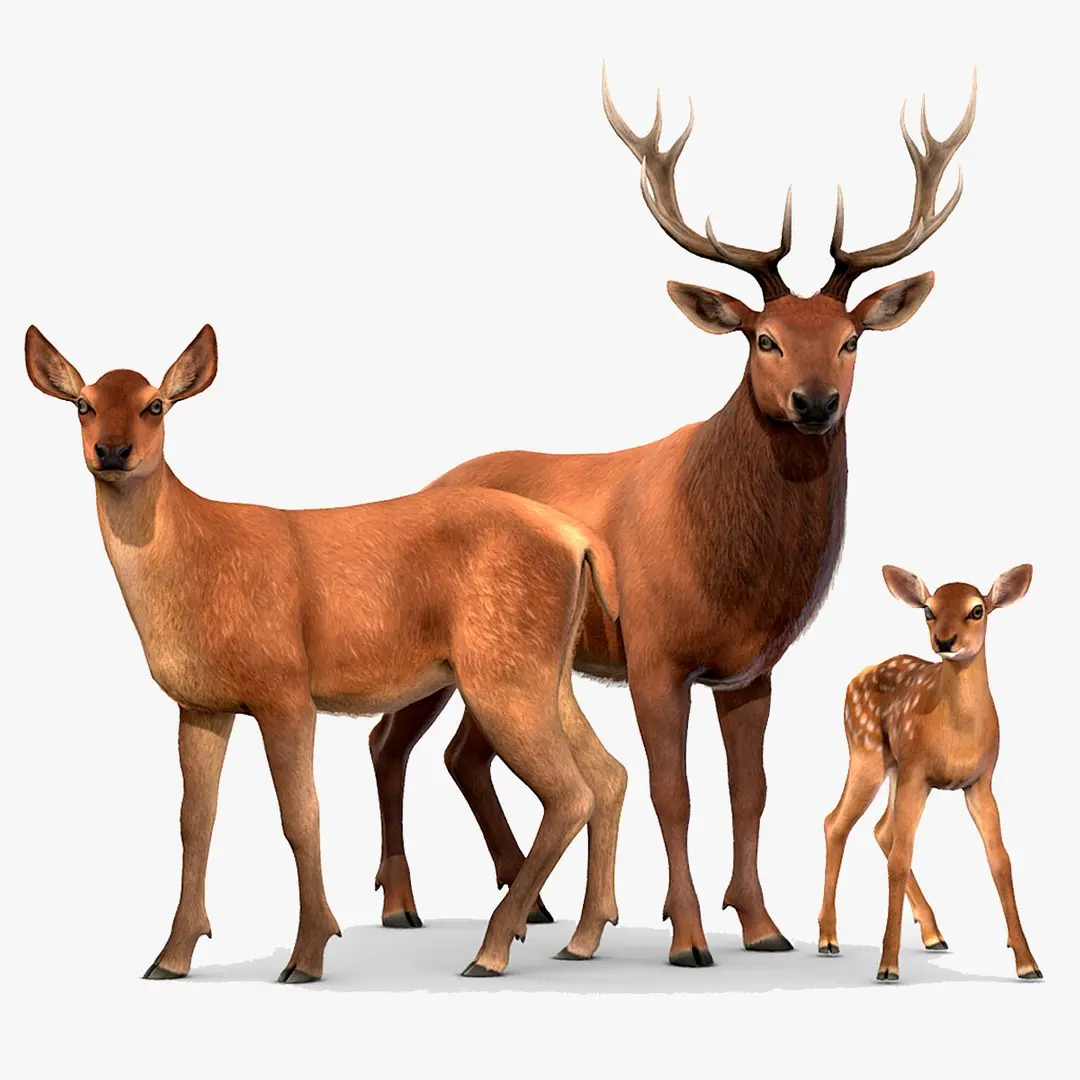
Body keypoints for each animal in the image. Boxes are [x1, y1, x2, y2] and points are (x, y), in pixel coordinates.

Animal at [26, 324, 628, 981]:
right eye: (83, 404)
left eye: (154, 404)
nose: (111, 452)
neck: (196, 563)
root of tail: (580, 541)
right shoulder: (200, 704)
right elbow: (195, 821)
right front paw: (171, 956)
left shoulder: (285, 689)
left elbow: (300, 815)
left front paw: (308, 954)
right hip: (545, 673)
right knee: (609, 773)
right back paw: (582, 937)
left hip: (501, 672)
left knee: (569, 792)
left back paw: (492, 949)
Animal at [365, 67, 977, 968]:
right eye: (762, 338)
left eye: (852, 339)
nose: (815, 403)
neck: (733, 572)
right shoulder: (653, 652)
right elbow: (672, 791)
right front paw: (687, 936)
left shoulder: (752, 668)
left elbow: (750, 791)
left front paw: (762, 926)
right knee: (391, 742)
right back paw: (406, 905)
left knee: (461, 753)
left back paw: (530, 903)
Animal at [818, 564, 1041, 982]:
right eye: (928, 610)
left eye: (977, 610)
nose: (944, 641)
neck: (957, 733)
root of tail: (857, 677)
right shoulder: (918, 773)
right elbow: (900, 859)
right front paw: (888, 966)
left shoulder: (981, 781)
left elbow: (1000, 860)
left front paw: (1028, 962)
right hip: (866, 752)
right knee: (837, 823)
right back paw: (828, 938)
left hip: (894, 767)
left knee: (880, 829)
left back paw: (934, 934)